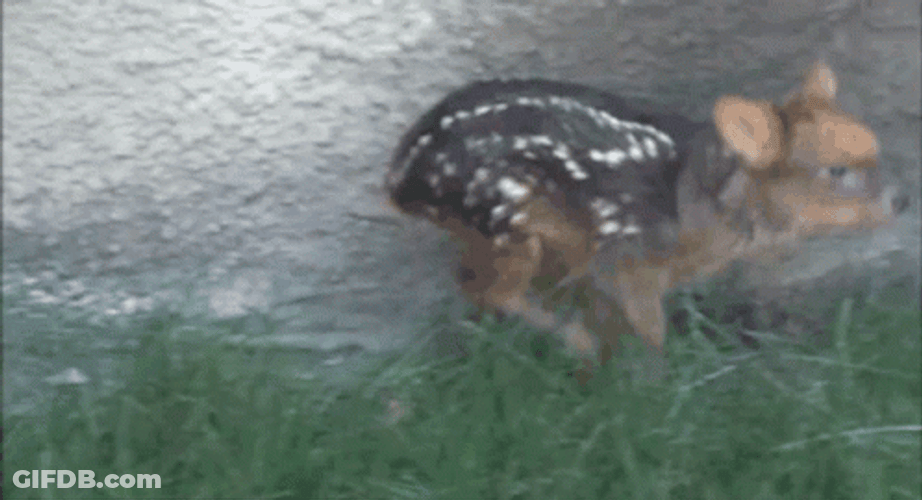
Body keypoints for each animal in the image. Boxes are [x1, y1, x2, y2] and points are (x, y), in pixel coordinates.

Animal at [385, 61, 907, 383]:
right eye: (836, 171)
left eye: (876, 150)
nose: (902, 200)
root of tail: (398, 181)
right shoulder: (627, 259)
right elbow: (650, 333)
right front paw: (651, 397)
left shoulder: (602, 262)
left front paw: (602, 380)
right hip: (505, 220)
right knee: (495, 290)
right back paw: (575, 344)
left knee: (475, 284)